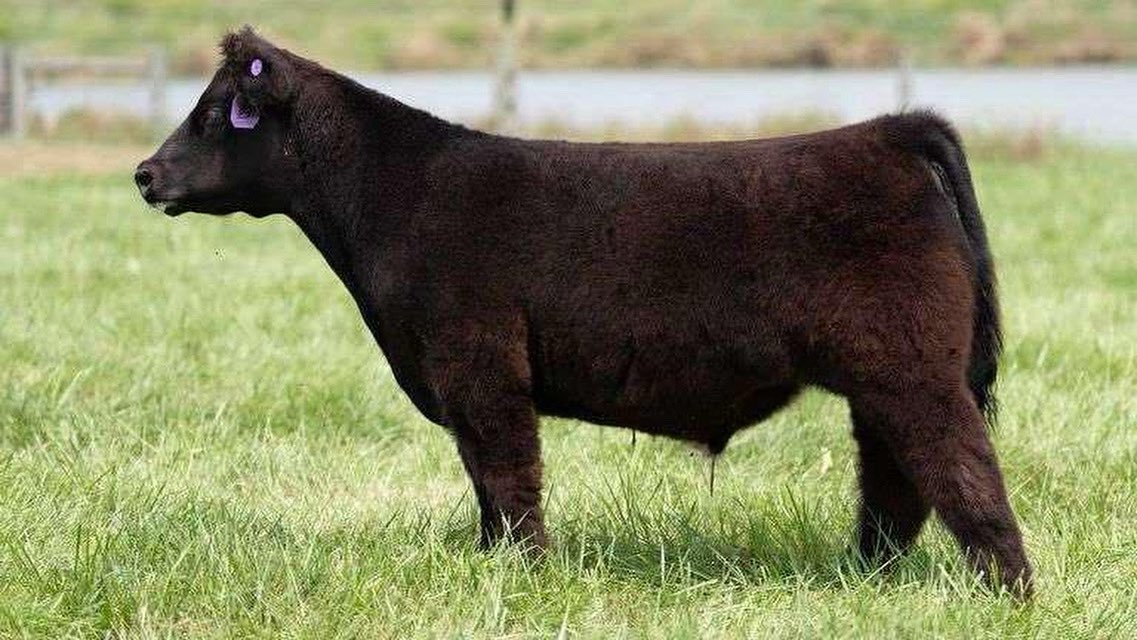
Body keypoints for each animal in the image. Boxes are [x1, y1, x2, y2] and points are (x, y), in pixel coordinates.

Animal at [135, 27, 1032, 597]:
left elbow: (507, 475)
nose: (145, 173)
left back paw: (1005, 592)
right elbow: (484, 485)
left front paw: (526, 574)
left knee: (961, 469)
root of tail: (887, 131)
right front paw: (494, 568)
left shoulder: (478, 365)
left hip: (913, 374)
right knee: (893, 484)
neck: (392, 197)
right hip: (882, 382)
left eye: (215, 115)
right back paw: (866, 577)